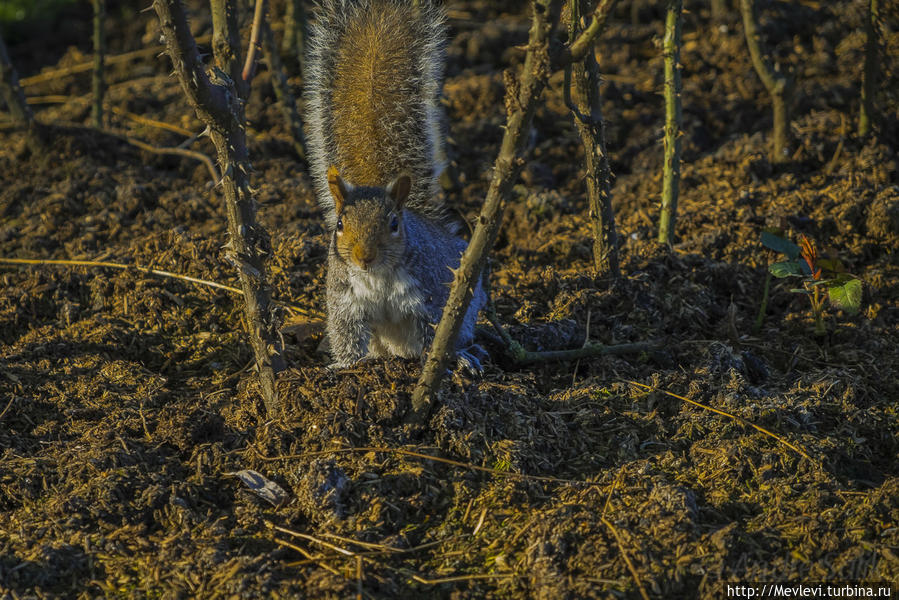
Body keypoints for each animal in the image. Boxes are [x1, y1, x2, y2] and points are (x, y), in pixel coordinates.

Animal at [304, 0, 488, 368]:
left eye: (393, 224)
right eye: (340, 224)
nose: (364, 256)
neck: (377, 275)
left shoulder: (431, 296)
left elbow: (435, 332)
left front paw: (442, 362)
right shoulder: (345, 303)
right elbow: (347, 335)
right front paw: (343, 367)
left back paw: (465, 354)